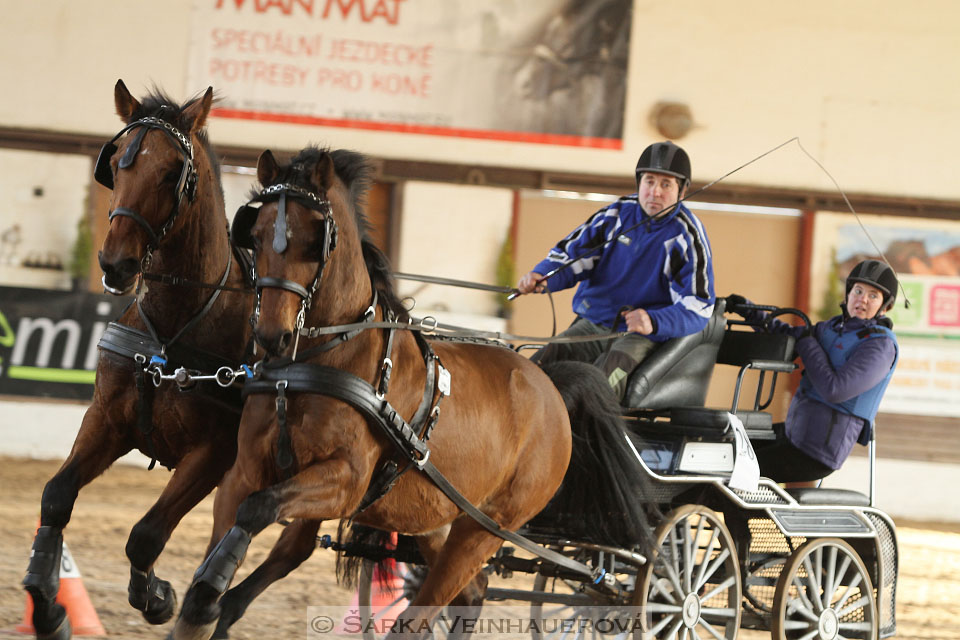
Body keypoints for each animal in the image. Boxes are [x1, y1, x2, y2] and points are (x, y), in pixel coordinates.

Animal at [23, 81, 256, 640]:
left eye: (174, 172)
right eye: (117, 165)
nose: (116, 264)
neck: (173, 329)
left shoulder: (213, 452)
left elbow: (146, 535)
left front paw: (156, 596)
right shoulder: (108, 420)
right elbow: (56, 497)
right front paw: (50, 609)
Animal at [171, 148, 652, 636]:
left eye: (314, 240)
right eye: (256, 234)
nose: (272, 335)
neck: (318, 362)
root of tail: (549, 386)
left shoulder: (347, 479)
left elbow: (257, 510)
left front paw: (209, 596)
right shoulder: (247, 469)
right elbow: (239, 515)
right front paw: (202, 601)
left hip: (485, 528)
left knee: (422, 613)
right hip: (438, 518)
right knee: (470, 595)